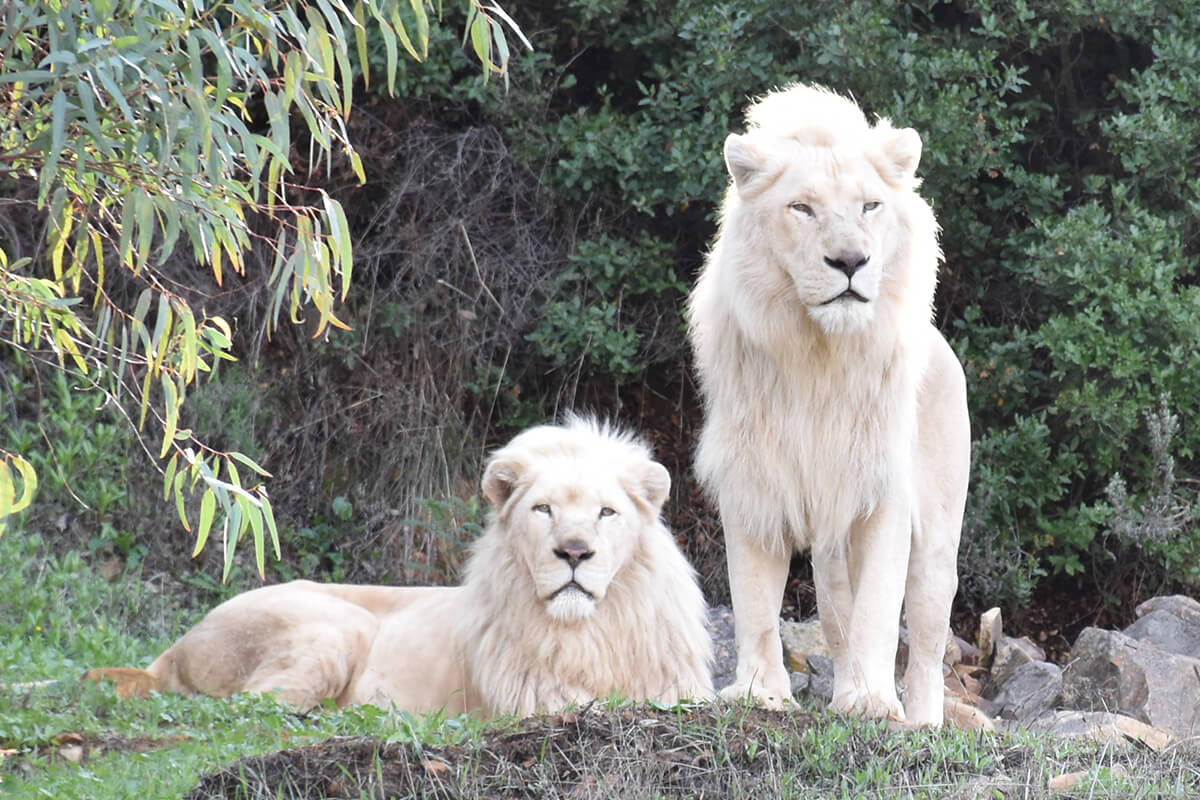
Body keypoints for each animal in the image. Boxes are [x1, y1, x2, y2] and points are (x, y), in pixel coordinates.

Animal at [93, 422, 715, 714]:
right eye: (543, 510)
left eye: (607, 513)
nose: (575, 552)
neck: (591, 631)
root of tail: (175, 645)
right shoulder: (529, 700)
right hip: (333, 627)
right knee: (246, 706)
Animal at [691, 84, 969, 729]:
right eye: (802, 209)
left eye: (870, 207)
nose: (849, 262)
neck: (818, 354)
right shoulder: (754, 480)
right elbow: (753, 600)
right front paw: (759, 694)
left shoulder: (885, 490)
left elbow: (880, 608)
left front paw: (871, 703)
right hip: (829, 550)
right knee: (837, 616)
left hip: (939, 536)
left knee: (926, 637)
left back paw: (920, 721)